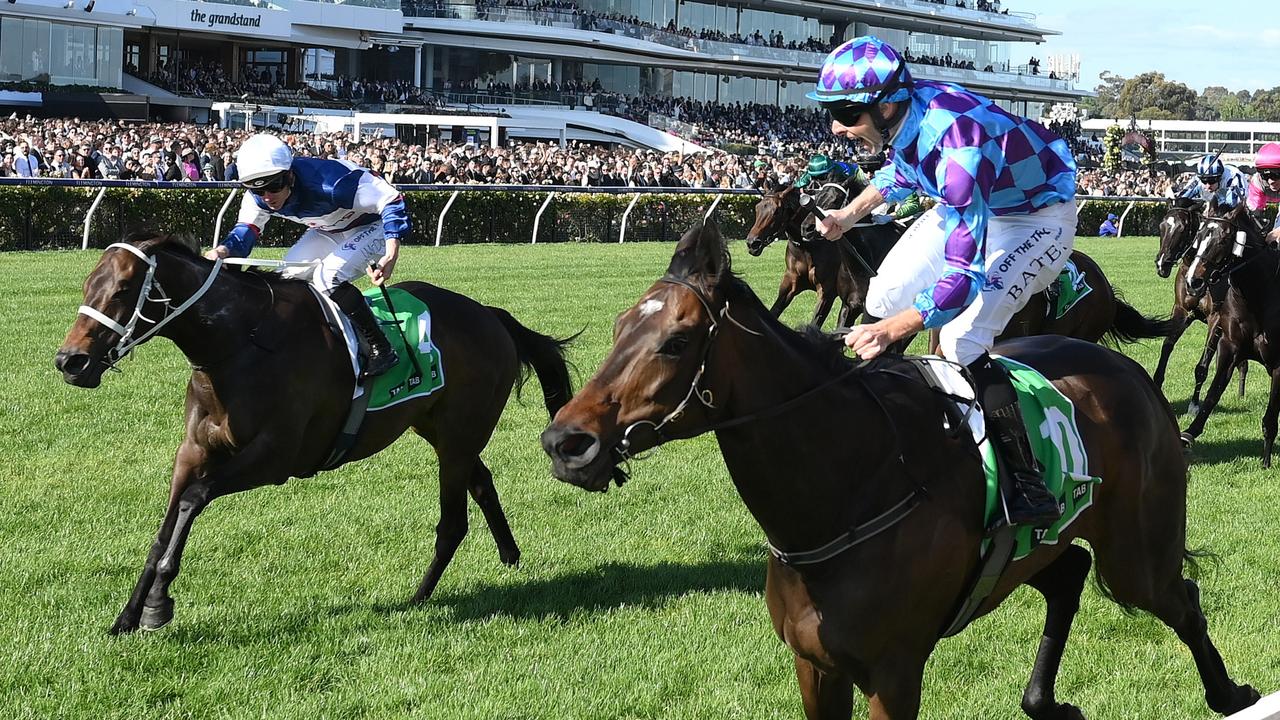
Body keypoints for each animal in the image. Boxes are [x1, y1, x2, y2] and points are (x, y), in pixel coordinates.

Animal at [57, 233, 573, 630]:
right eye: (87, 284)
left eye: (124, 289)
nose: (70, 361)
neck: (241, 344)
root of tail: (490, 314)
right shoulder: (193, 451)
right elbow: (164, 529)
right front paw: (127, 616)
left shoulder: (276, 457)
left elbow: (193, 500)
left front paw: (159, 604)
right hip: (439, 428)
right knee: (481, 482)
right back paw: (510, 557)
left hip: (459, 433)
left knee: (453, 522)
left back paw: (418, 598)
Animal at [1152, 196, 1239, 412]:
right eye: (1162, 226)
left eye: (1182, 228)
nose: (1161, 264)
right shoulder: (1182, 311)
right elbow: (1167, 346)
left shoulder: (1216, 320)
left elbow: (1202, 365)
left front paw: (1194, 404)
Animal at [1177, 202, 1280, 461]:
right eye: (1199, 236)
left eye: (1223, 239)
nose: (1193, 281)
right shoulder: (1229, 347)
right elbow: (1212, 394)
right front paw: (1188, 434)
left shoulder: (1278, 363)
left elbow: (1271, 415)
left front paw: (1266, 460)